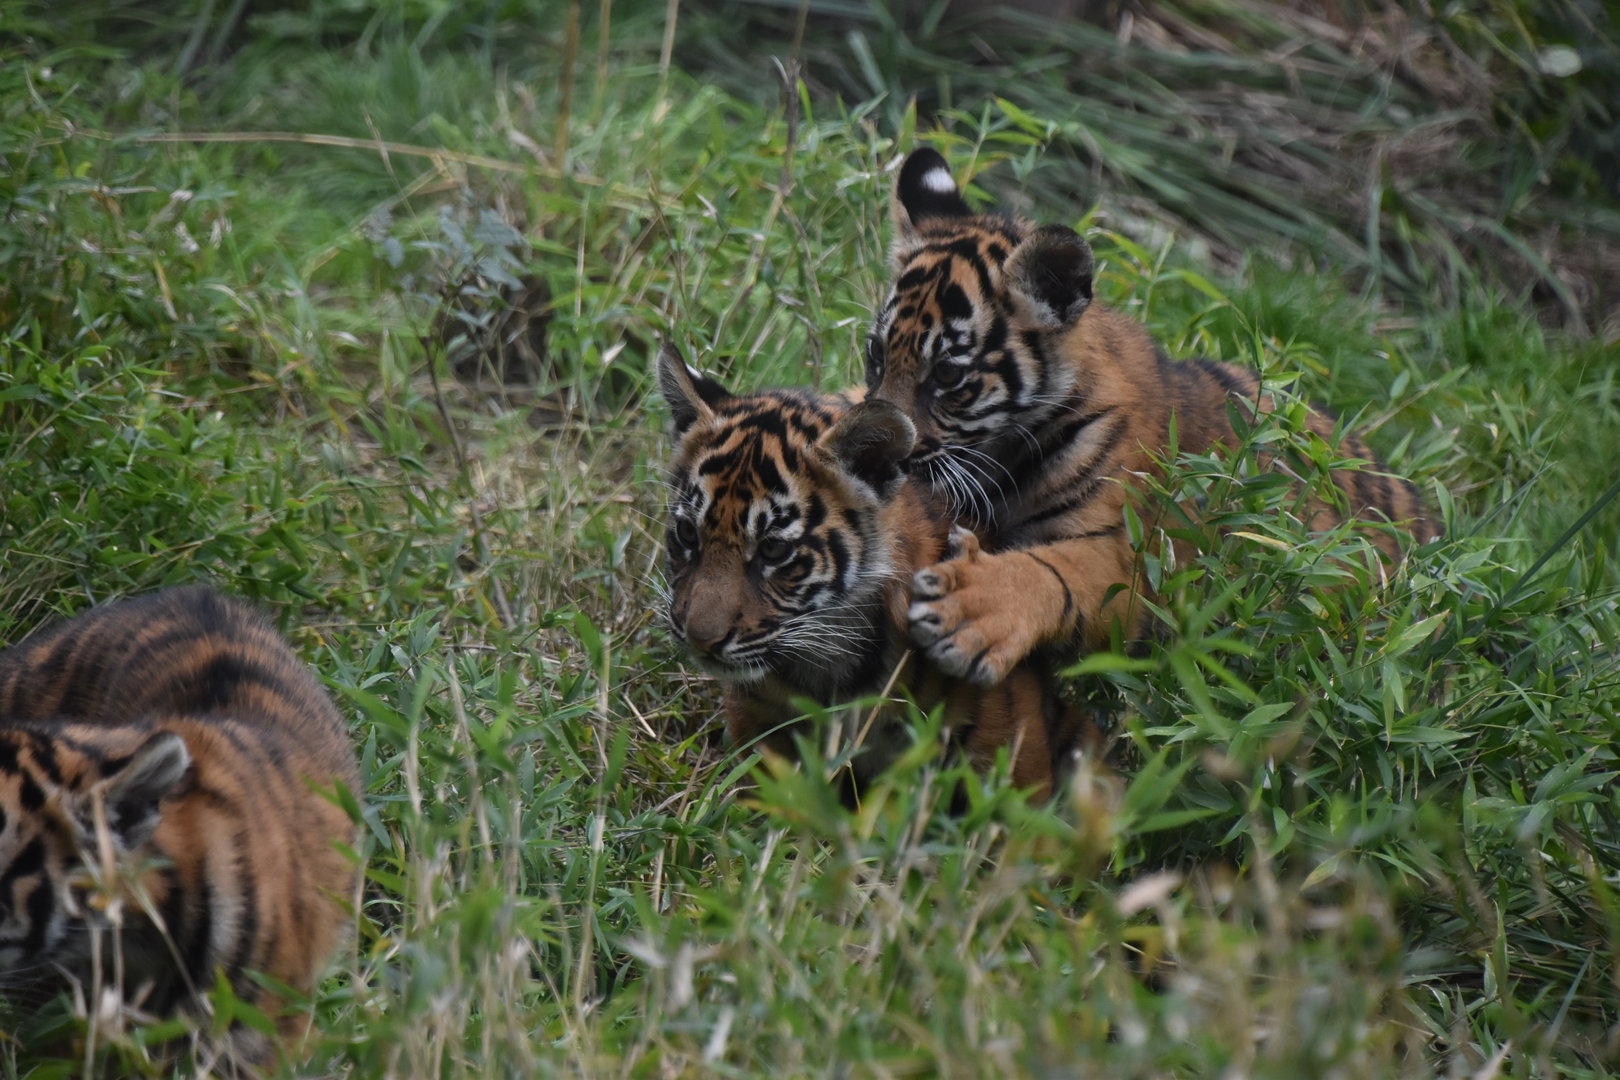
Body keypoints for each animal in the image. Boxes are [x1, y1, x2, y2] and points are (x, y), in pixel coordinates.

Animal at [864, 147, 1440, 687]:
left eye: (947, 374)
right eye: (875, 353)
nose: (882, 450)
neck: (1003, 448)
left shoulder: (1129, 558)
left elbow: (1053, 572)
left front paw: (968, 609)